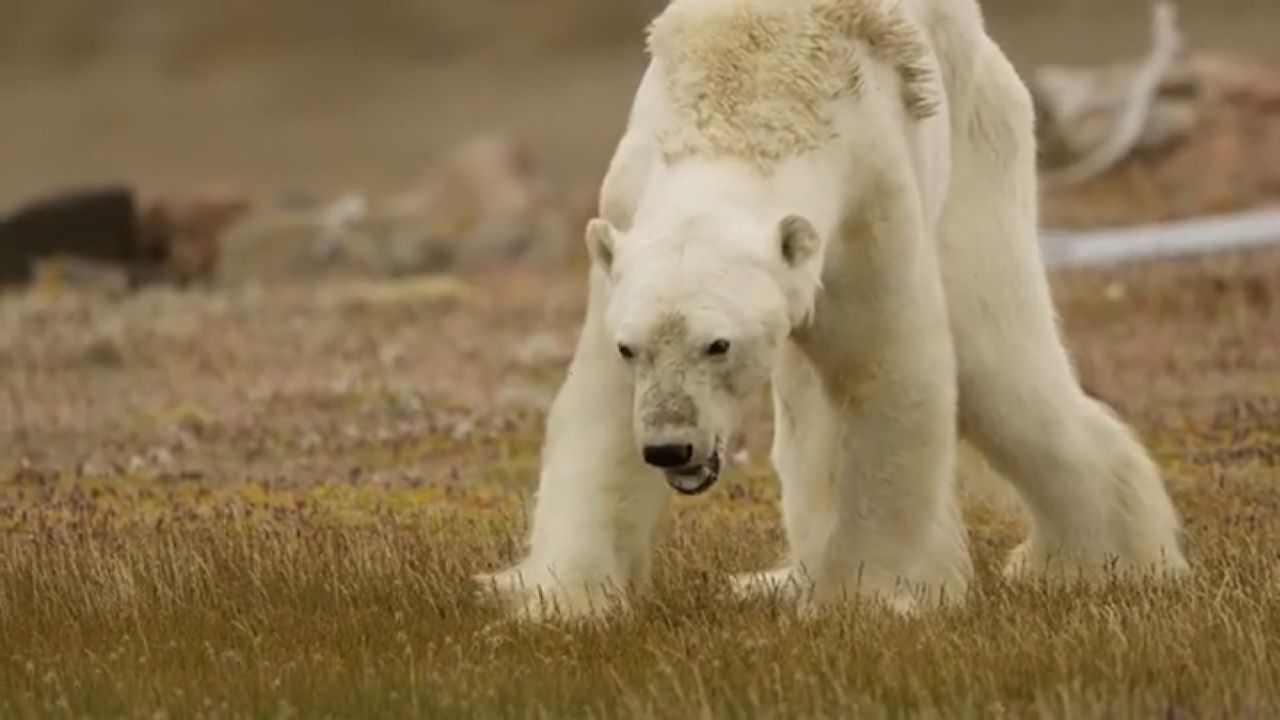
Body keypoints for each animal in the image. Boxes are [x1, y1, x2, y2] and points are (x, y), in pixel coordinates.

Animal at [478, 0, 1187, 617]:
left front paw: (868, 599)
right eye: (633, 347)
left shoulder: (868, 200)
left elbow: (887, 374)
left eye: (718, 344)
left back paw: (1095, 563)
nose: (670, 449)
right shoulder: (627, 216)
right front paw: (562, 599)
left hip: (979, 157)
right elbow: (598, 408)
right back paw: (781, 579)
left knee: (1000, 370)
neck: (747, 98)